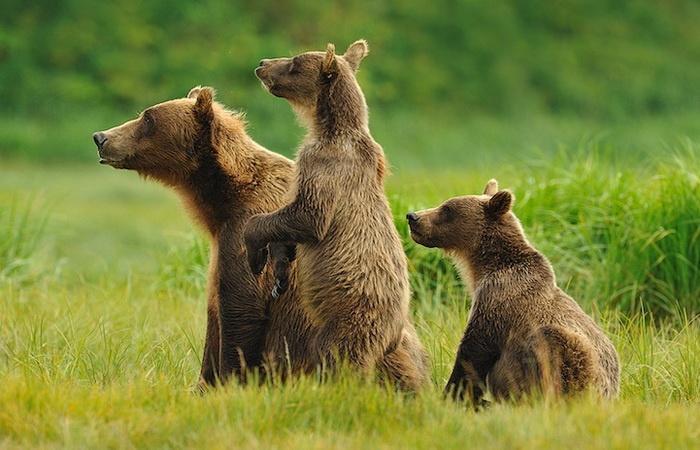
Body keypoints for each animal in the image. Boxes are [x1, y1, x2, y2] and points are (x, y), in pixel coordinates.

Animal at [91, 88, 316, 386]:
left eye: (147, 118)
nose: (101, 137)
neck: (222, 199)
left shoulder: (246, 231)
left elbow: (239, 310)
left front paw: (226, 382)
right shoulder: (220, 243)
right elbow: (214, 318)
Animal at [246, 39, 432, 390]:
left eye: (294, 63)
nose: (262, 63)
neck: (328, 129)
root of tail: (393, 329)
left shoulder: (324, 169)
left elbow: (306, 217)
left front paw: (254, 253)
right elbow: (289, 227)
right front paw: (279, 270)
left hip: (349, 317)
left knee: (339, 357)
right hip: (394, 340)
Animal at [408, 179, 620, 404]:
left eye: (447, 209)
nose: (413, 217)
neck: (483, 268)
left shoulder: (499, 298)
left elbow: (474, 351)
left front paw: (452, 394)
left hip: (581, 367)